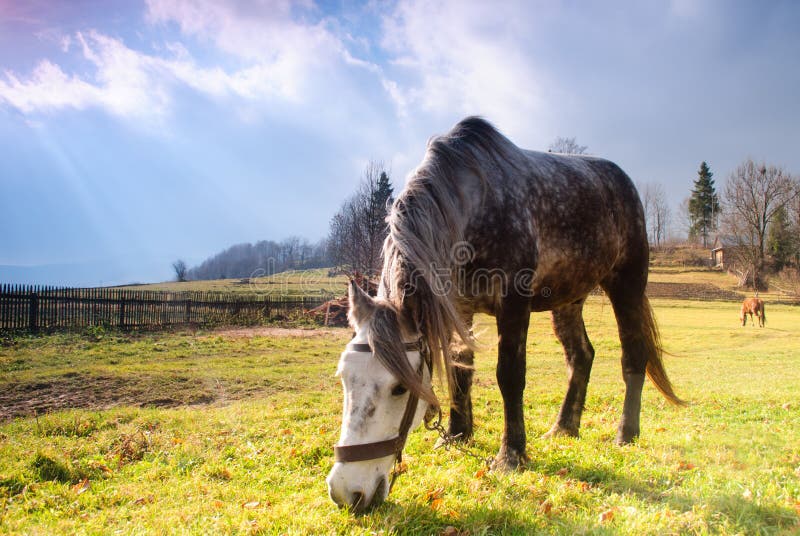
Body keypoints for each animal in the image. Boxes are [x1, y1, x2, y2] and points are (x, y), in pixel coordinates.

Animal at [326, 117, 684, 512]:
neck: (469, 209)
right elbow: (460, 369)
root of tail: (623, 182)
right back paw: (564, 428)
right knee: (581, 356)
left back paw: (625, 433)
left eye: (399, 388)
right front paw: (456, 434)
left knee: (633, 355)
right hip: (569, 299)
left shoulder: (513, 302)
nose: (346, 492)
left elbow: (509, 376)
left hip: (626, 285)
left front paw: (511, 455)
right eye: (344, 378)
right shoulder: (458, 308)